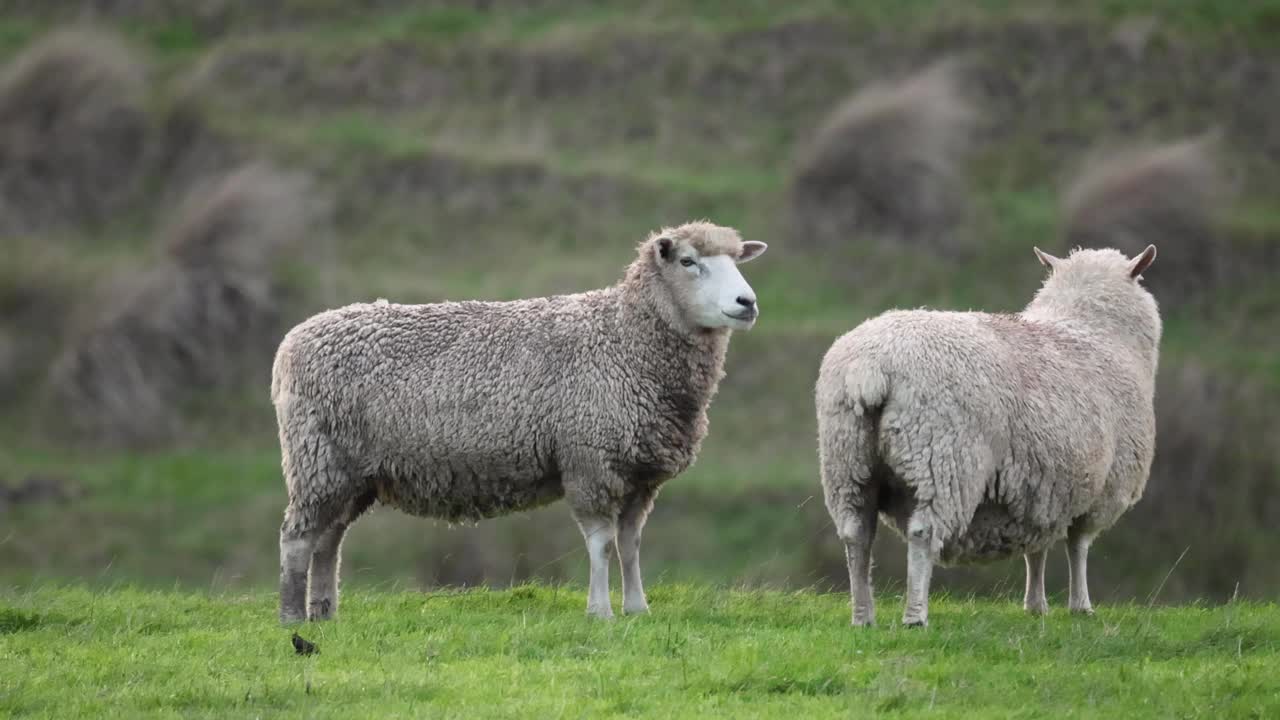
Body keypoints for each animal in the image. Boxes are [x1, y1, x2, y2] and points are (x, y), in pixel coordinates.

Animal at [270, 221, 762, 620]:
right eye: (688, 261)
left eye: (738, 260)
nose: (747, 302)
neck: (624, 341)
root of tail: (292, 342)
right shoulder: (590, 462)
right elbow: (602, 544)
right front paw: (600, 612)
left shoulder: (638, 475)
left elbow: (630, 545)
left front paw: (638, 609)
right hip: (316, 459)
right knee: (297, 538)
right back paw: (293, 617)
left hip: (349, 471)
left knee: (328, 540)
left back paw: (325, 613)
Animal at [819, 243, 1162, 625]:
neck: (1094, 331)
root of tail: (870, 370)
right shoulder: (1102, 489)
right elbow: (1078, 547)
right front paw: (1081, 606)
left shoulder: (1043, 489)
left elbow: (1036, 549)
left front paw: (1036, 606)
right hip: (942, 460)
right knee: (923, 533)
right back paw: (915, 615)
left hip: (847, 461)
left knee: (856, 535)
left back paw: (863, 616)